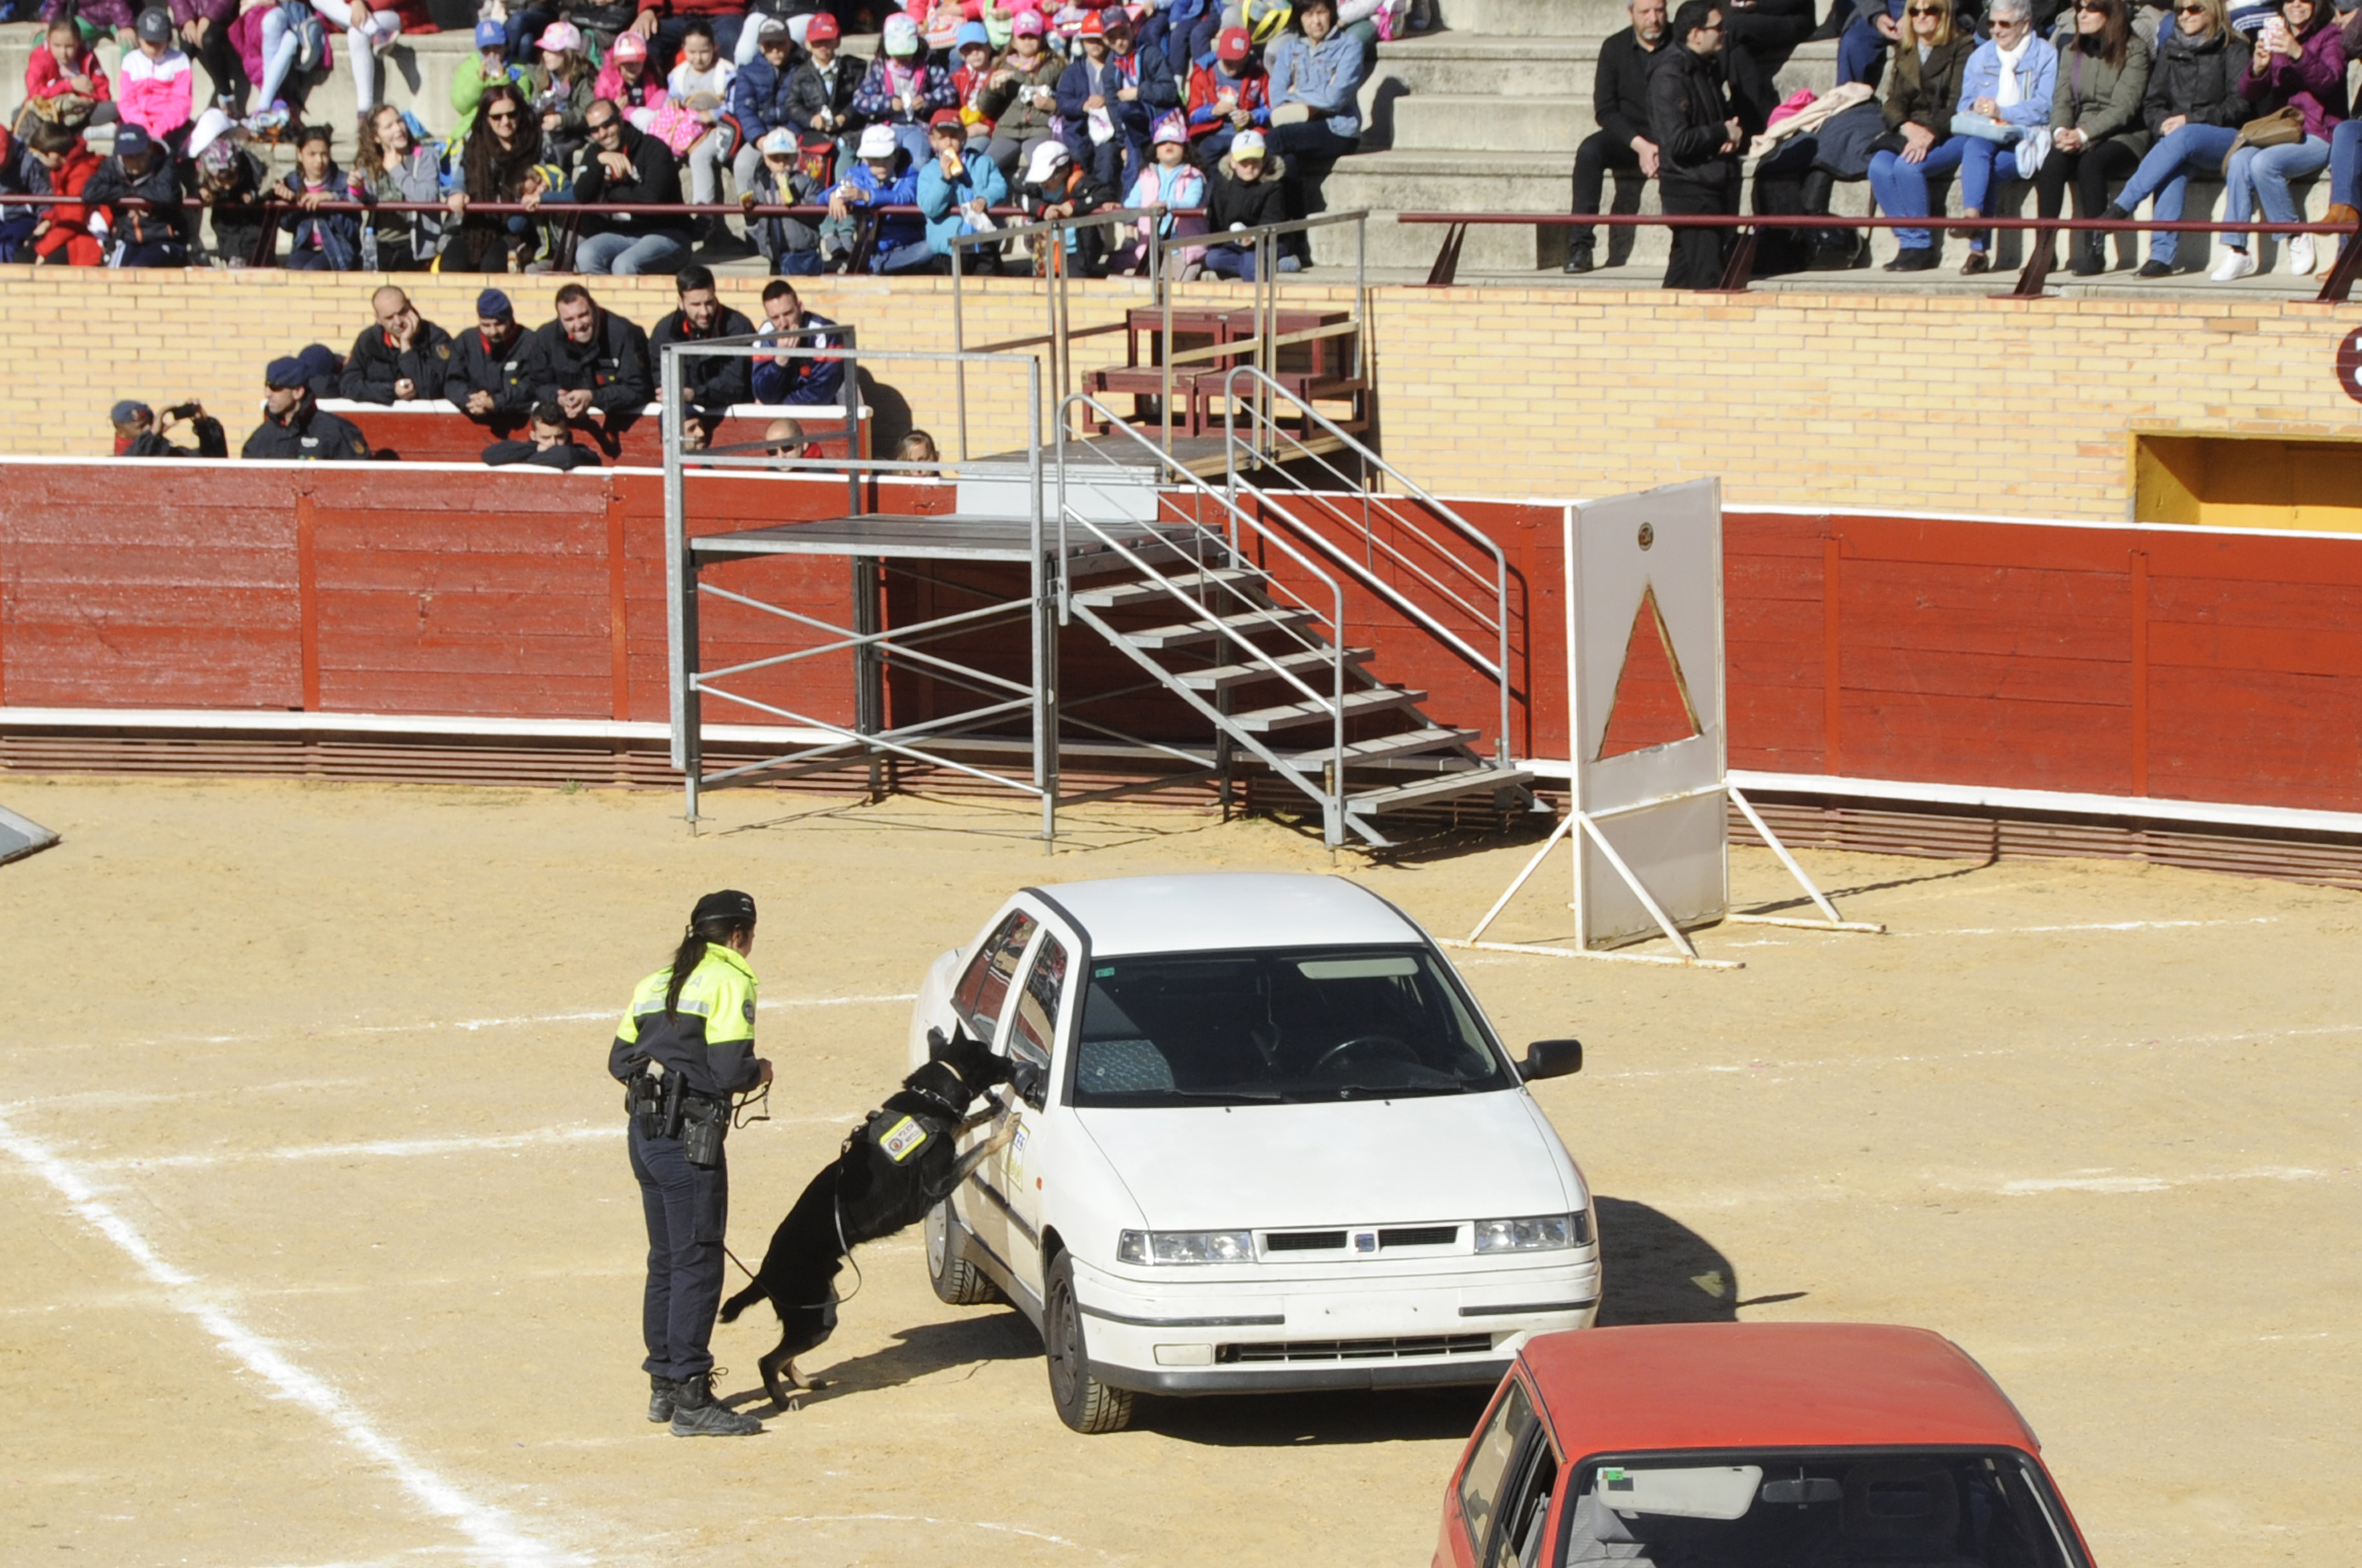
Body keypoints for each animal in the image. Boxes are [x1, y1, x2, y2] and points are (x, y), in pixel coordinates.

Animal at [719, 1025, 1016, 1404]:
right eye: (989, 1055)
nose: (1014, 1064)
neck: (932, 1097)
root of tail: (764, 1273)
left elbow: (964, 1125)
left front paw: (988, 1115)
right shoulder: (937, 1185)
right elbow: (978, 1148)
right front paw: (1003, 1132)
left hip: (820, 1314)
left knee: (784, 1357)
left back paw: (804, 1381)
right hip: (816, 1318)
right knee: (767, 1360)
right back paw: (783, 1400)